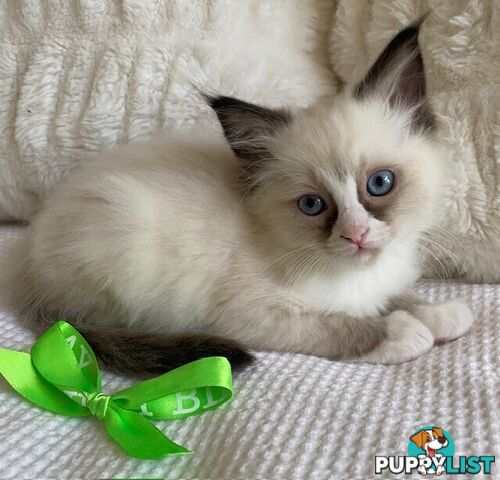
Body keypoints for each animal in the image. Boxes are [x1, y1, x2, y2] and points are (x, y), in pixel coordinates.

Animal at [2, 22, 472, 376]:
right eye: (312, 205)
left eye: (379, 184)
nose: (355, 235)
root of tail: (27, 258)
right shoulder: (250, 316)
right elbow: (335, 325)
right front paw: (402, 331)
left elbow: (397, 294)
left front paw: (438, 313)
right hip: (124, 241)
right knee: (86, 326)